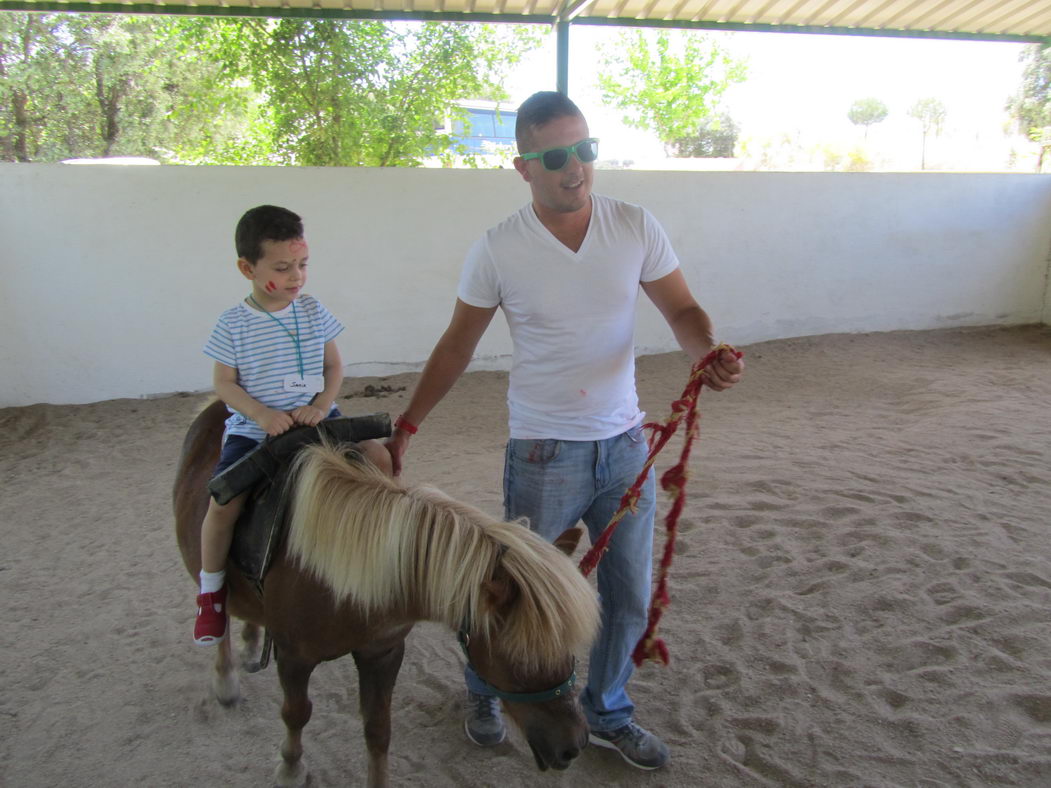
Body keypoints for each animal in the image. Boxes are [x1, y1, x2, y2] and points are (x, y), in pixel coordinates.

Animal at [173, 403, 601, 785]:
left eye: (569, 647)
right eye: (519, 657)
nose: (574, 744)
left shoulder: (383, 653)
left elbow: (378, 730)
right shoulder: (294, 657)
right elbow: (296, 713)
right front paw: (291, 768)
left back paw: (250, 642)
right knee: (218, 611)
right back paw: (226, 678)